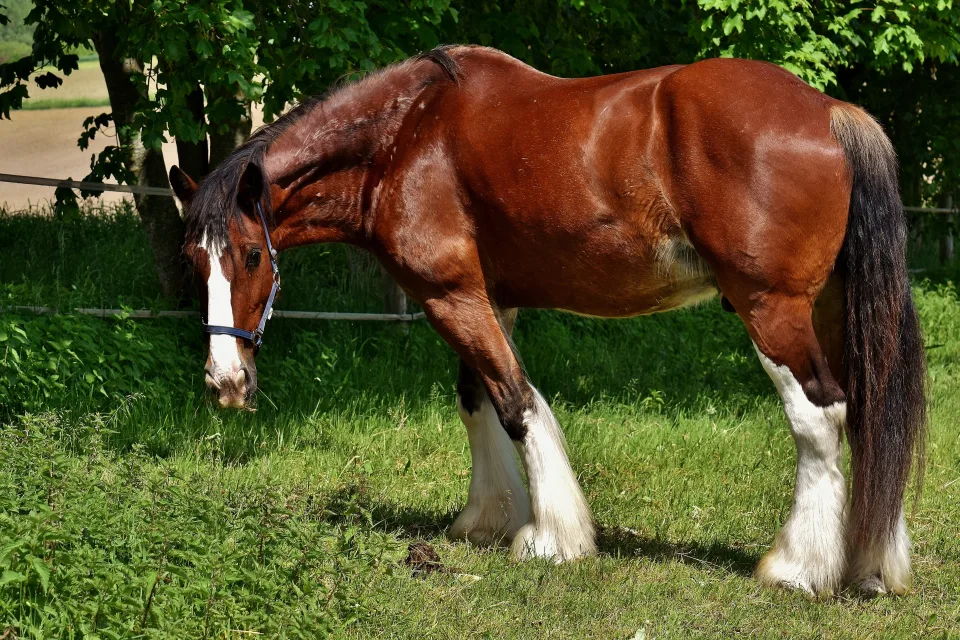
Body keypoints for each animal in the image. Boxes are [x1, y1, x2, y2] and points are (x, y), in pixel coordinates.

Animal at [169, 45, 926, 597]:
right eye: (193, 260)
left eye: (249, 255)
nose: (225, 382)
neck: (405, 136)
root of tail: (828, 111)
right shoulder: (483, 297)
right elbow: (475, 399)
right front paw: (486, 518)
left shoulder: (450, 295)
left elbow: (515, 403)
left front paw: (551, 539)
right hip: (830, 310)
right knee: (866, 416)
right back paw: (870, 565)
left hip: (771, 309)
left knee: (820, 419)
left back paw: (799, 568)